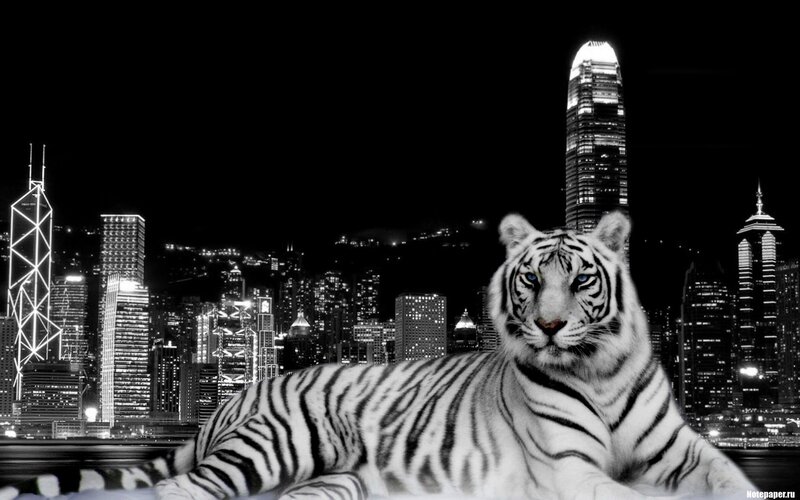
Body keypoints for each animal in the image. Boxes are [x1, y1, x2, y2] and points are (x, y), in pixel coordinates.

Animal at [0, 211, 756, 500]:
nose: (546, 327)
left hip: (340, 479)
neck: (600, 373)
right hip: (277, 444)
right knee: (179, 491)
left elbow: (733, 482)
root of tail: (239, 394)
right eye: (531, 280)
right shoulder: (569, 468)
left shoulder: (686, 450)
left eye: (580, 281)